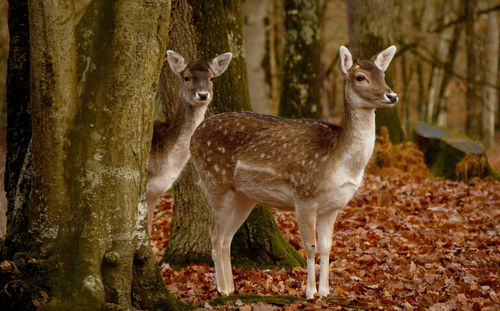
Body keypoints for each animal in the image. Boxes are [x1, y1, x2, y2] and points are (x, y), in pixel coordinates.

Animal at [189, 45, 400, 298]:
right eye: (361, 77)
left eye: (383, 74)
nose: (392, 96)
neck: (338, 160)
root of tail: (192, 138)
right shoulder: (304, 195)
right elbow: (310, 246)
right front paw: (310, 293)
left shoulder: (333, 206)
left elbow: (327, 247)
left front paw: (325, 291)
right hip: (215, 181)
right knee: (214, 233)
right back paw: (222, 289)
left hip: (244, 196)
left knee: (226, 237)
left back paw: (230, 288)